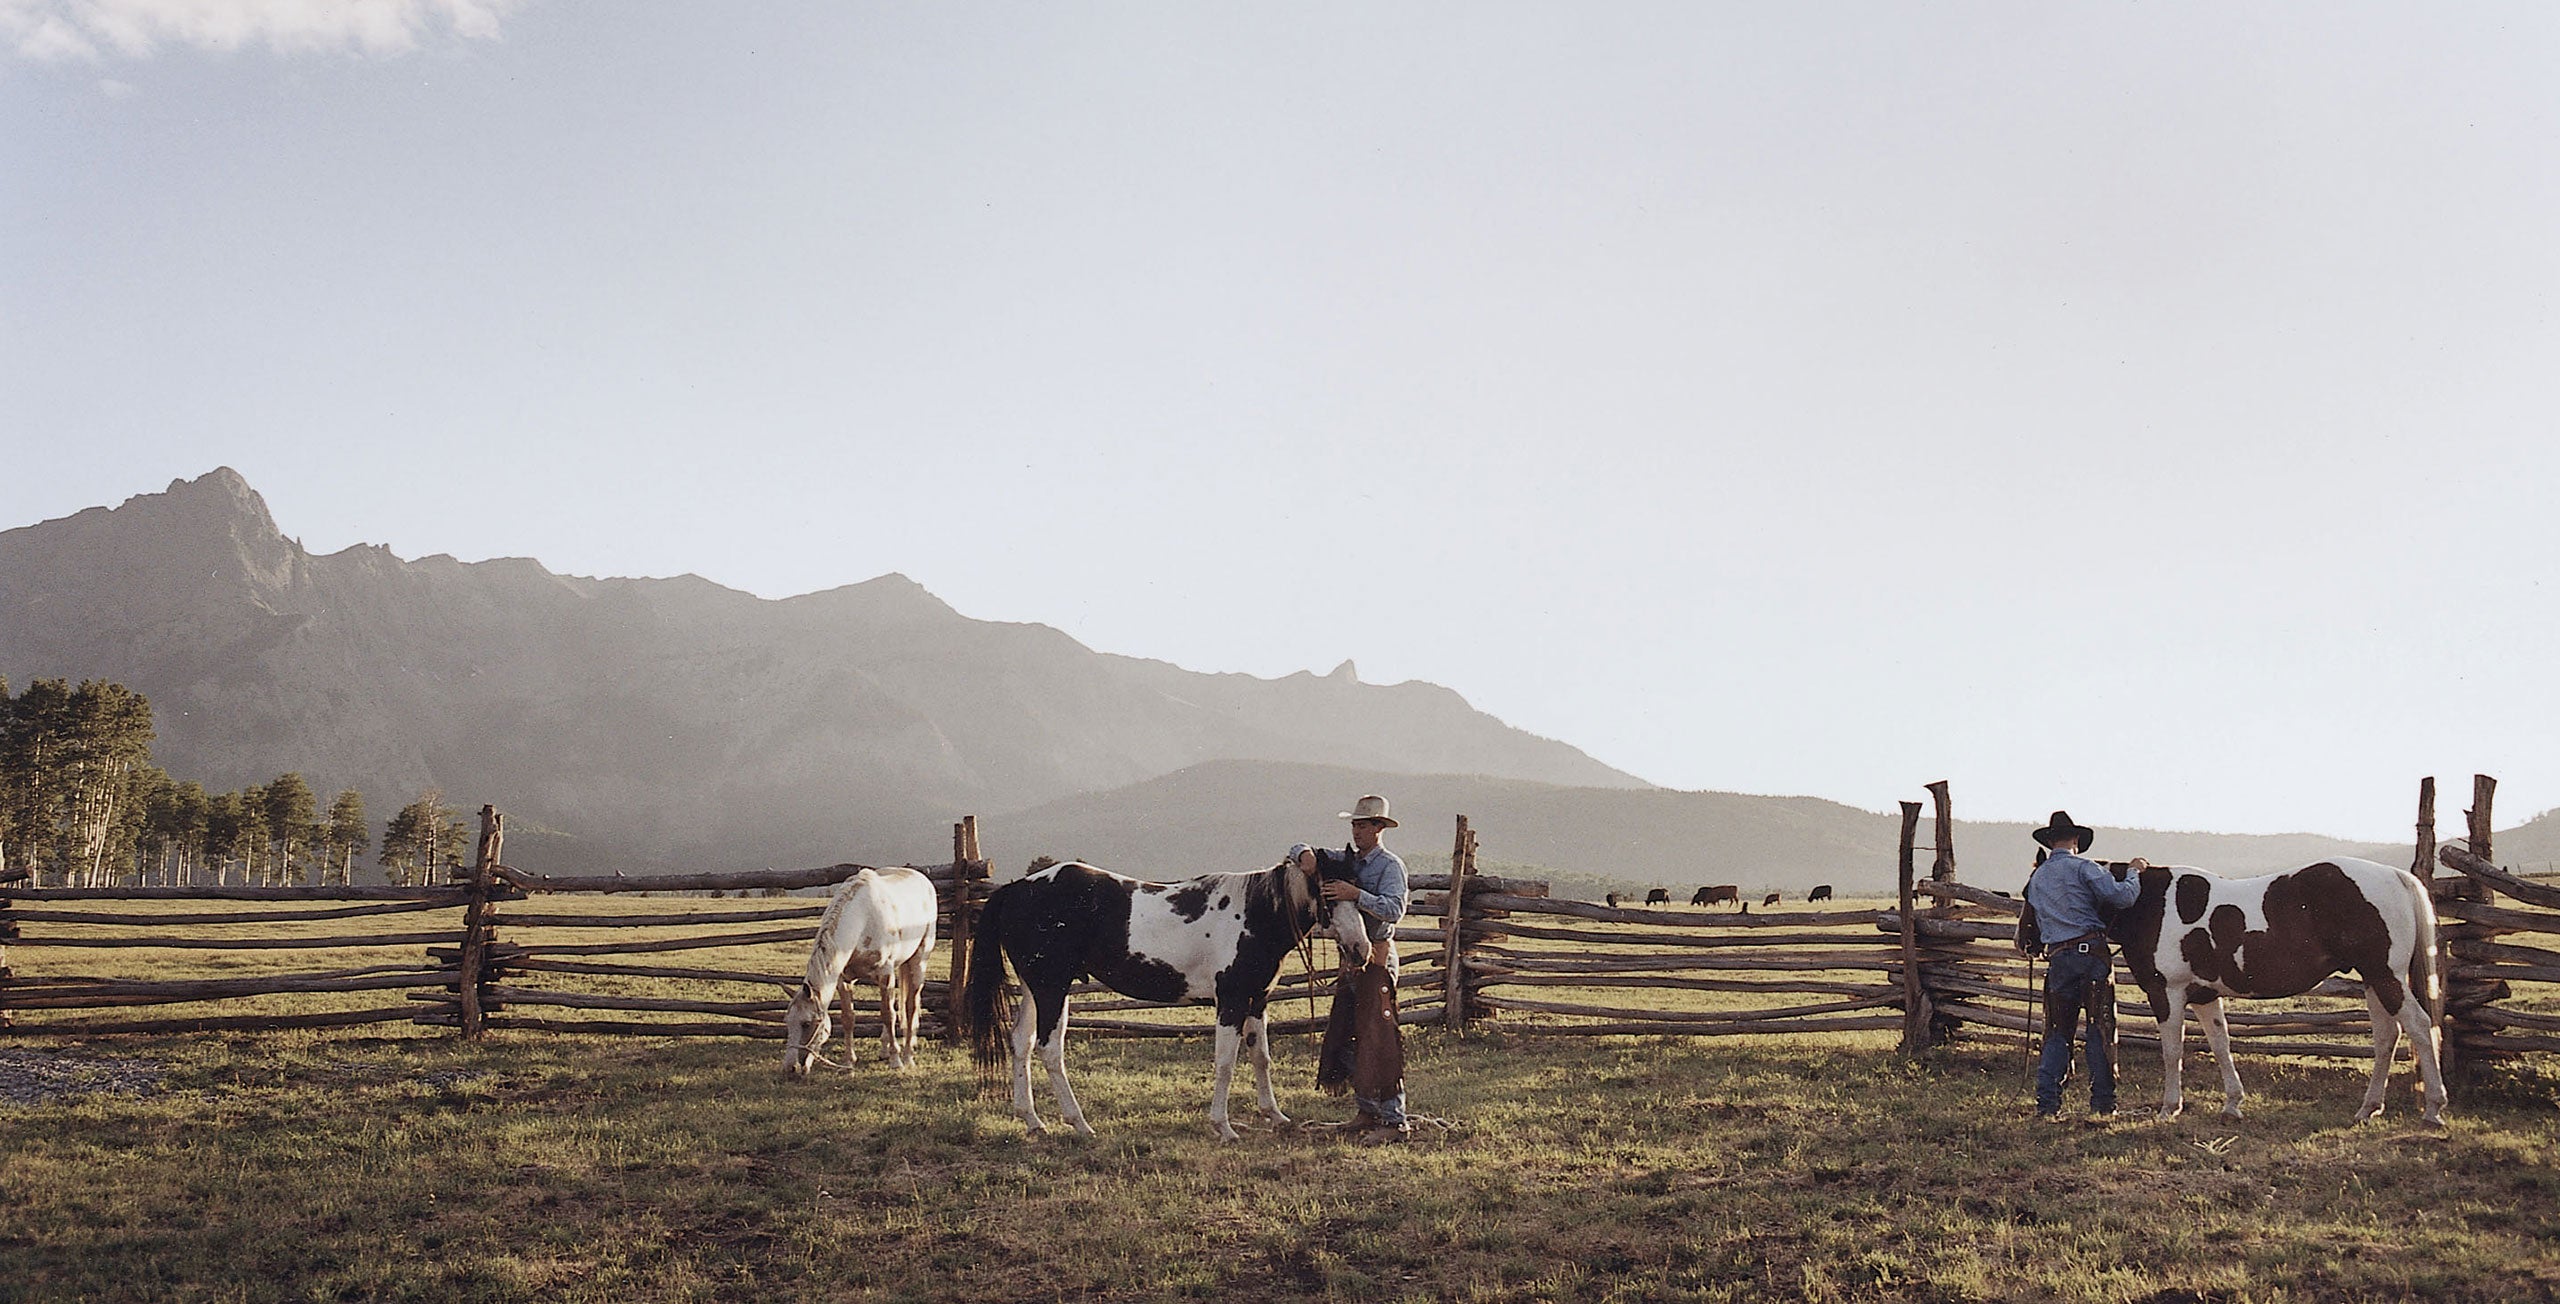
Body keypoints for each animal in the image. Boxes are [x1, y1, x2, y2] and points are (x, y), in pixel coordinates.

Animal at [783, 865, 947, 1065]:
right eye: (787, 1021)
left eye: (807, 1023)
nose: (791, 1068)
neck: (863, 919)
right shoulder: (843, 980)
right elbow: (848, 1017)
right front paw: (849, 1061)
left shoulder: (885, 974)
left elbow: (888, 1014)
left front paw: (896, 1061)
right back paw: (885, 1050)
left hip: (919, 961)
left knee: (910, 1007)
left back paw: (907, 1056)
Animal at [962, 855, 1372, 1137]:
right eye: (1329, 895)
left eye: (1358, 893)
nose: (1361, 950)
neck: (1254, 915)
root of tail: (1018, 888)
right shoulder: (1231, 1002)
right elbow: (1226, 1064)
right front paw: (1223, 1126)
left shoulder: (1256, 1002)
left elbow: (1261, 1059)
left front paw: (1275, 1115)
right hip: (1052, 988)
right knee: (1049, 1050)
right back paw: (1079, 1124)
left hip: (1035, 988)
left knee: (1021, 1043)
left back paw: (1032, 1121)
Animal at [2109, 855, 2447, 1116]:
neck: (2147, 902)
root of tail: (2395, 875)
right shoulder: (2204, 996)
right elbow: (2220, 1045)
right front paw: (2232, 1104)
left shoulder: (2166, 992)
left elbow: (2172, 1052)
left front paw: (2169, 1108)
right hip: (2374, 980)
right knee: (2387, 1037)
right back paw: (2369, 1108)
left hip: (2387, 977)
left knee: (2420, 1026)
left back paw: (2433, 1108)